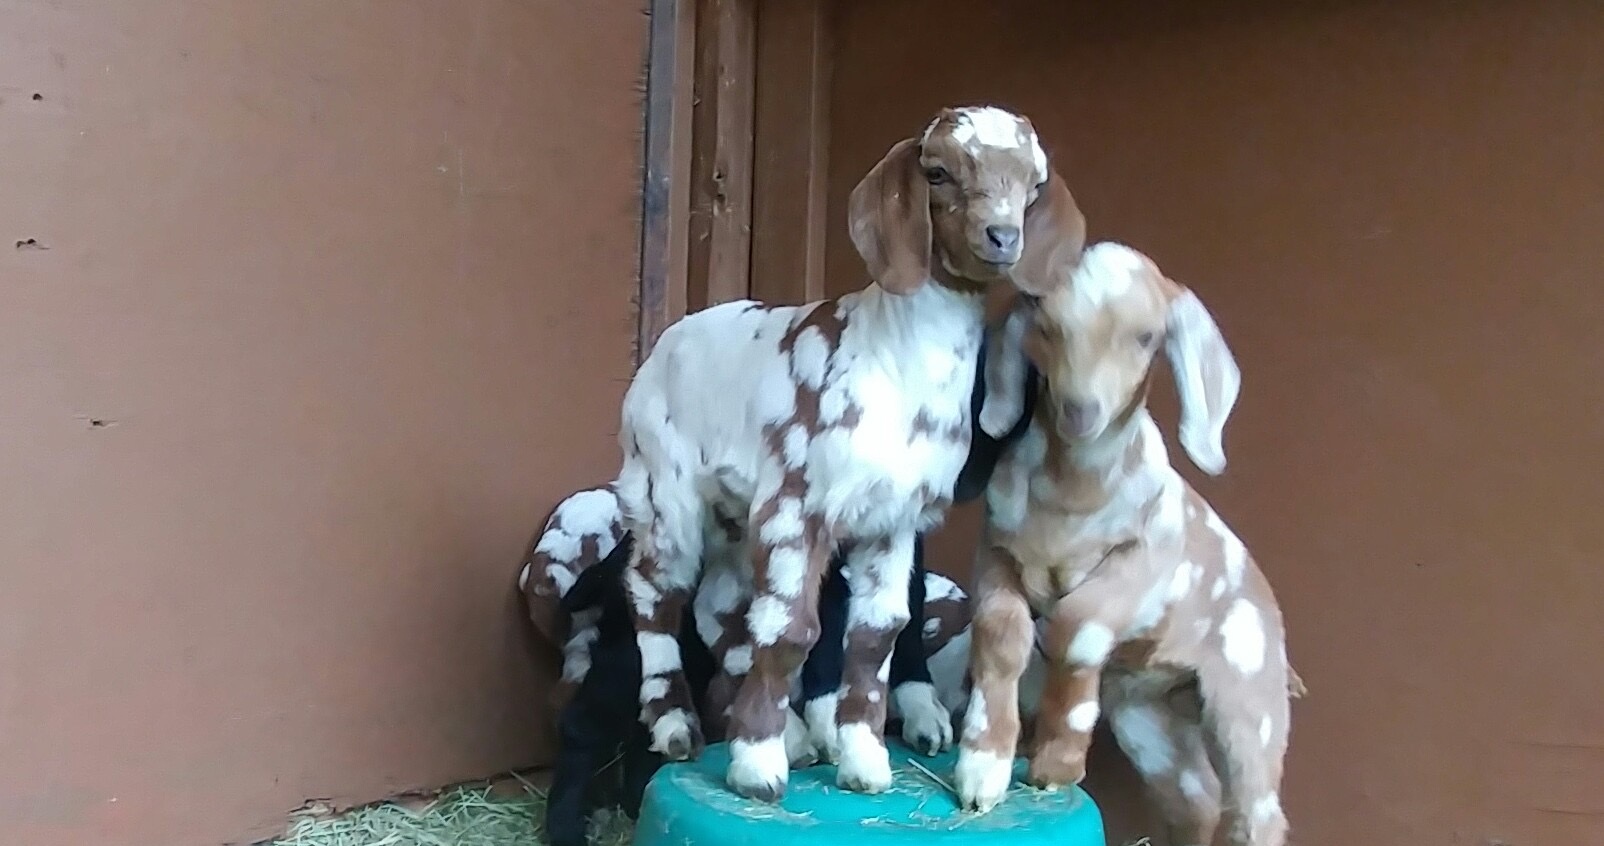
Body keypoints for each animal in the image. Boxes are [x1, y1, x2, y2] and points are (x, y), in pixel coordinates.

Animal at [616, 104, 1086, 801]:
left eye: (1033, 184)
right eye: (938, 172)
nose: (1002, 236)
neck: (892, 359)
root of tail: (665, 342)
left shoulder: (891, 519)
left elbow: (875, 634)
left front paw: (863, 761)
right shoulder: (797, 499)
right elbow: (793, 631)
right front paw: (757, 766)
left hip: (734, 513)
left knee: (718, 605)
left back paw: (794, 735)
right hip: (662, 485)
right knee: (656, 591)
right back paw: (677, 724)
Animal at [956, 242, 1298, 846]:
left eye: (1146, 337)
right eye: (1046, 327)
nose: (1080, 411)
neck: (1070, 501)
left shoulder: (1144, 565)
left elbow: (1076, 626)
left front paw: (1058, 760)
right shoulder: (997, 553)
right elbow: (1000, 635)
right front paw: (983, 765)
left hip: (1248, 700)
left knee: (1255, 808)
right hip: (1150, 719)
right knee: (1197, 801)